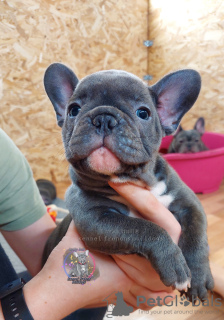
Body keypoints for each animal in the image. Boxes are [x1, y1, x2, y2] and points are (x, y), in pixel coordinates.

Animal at [42, 63, 214, 302]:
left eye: (143, 113)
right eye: (73, 110)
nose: (104, 118)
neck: (135, 182)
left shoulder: (189, 205)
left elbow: (196, 237)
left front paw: (199, 276)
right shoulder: (95, 220)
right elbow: (143, 228)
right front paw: (173, 262)